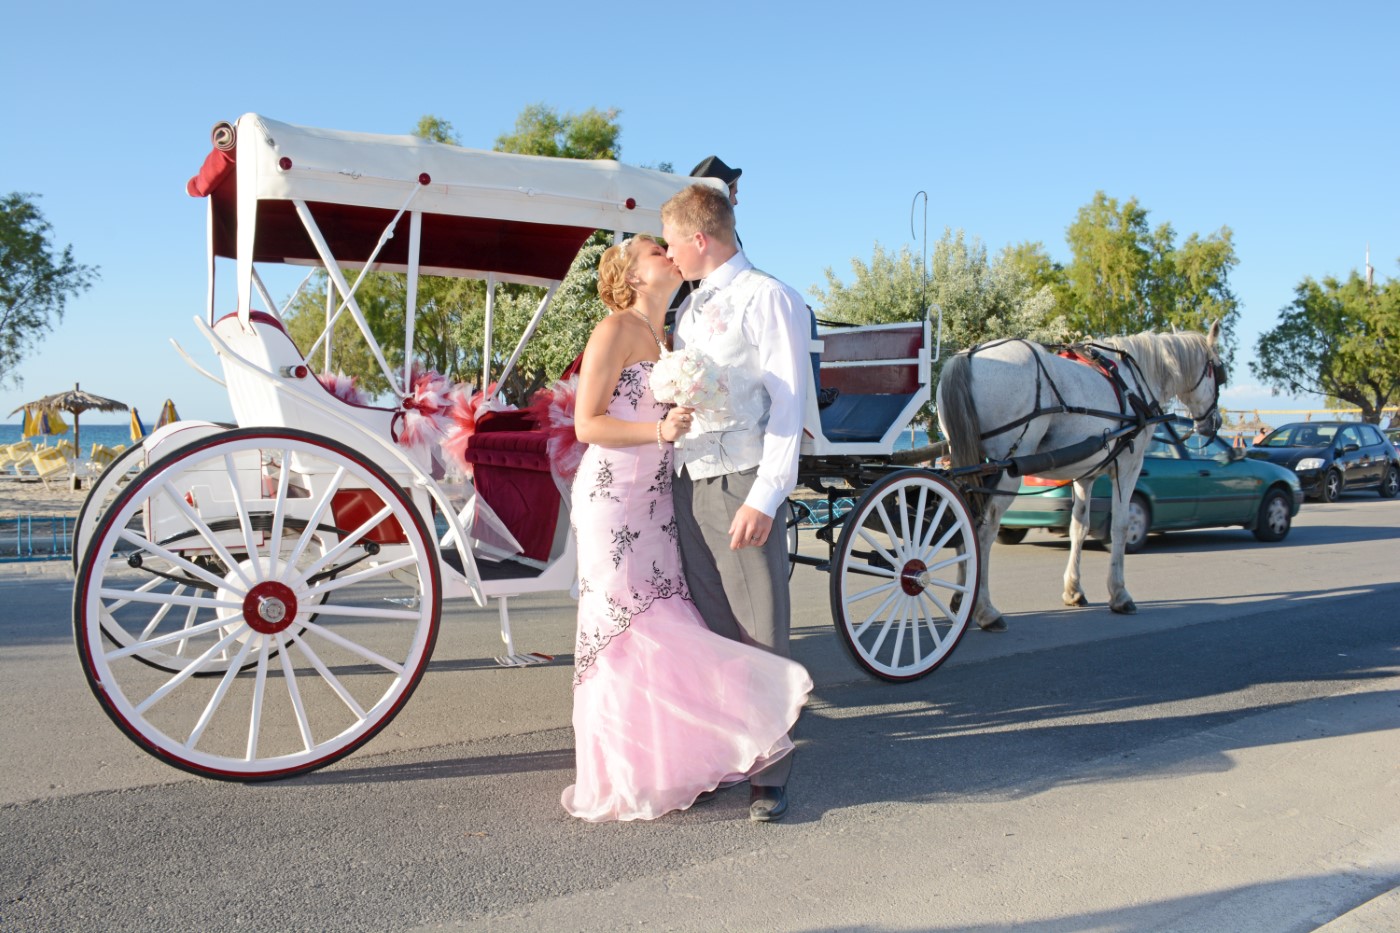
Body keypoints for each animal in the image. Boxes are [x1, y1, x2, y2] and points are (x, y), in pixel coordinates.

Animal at [935, 322, 1225, 631]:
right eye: (1218, 372)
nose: (1214, 423)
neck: (1135, 381)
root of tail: (969, 356)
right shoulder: (1129, 465)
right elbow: (1121, 526)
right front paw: (1120, 594)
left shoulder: (1084, 475)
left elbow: (1079, 527)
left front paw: (1073, 589)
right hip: (1004, 469)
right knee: (983, 531)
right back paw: (985, 609)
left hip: (966, 459)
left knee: (963, 518)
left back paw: (961, 596)